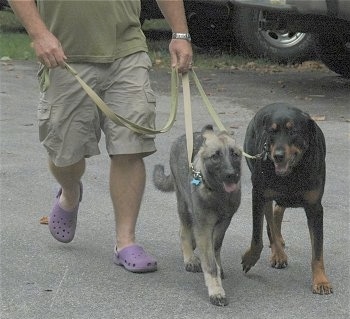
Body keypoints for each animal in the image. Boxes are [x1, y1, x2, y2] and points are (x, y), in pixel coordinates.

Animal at [152, 124, 241, 306]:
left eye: (234, 154)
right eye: (216, 156)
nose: (231, 175)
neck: (218, 194)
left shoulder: (223, 223)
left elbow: (216, 248)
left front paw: (219, 269)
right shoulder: (204, 228)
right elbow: (210, 263)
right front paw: (216, 290)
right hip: (184, 205)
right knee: (184, 231)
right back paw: (189, 258)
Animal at [242, 102, 332, 296]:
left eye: (293, 131)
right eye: (272, 131)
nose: (278, 155)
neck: (292, 172)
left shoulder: (315, 207)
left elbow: (318, 250)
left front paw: (321, 280)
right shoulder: (258, 194)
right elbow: (257, 237)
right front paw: (251, 258)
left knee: (278, 210)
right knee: (270, 220)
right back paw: (278, 253)